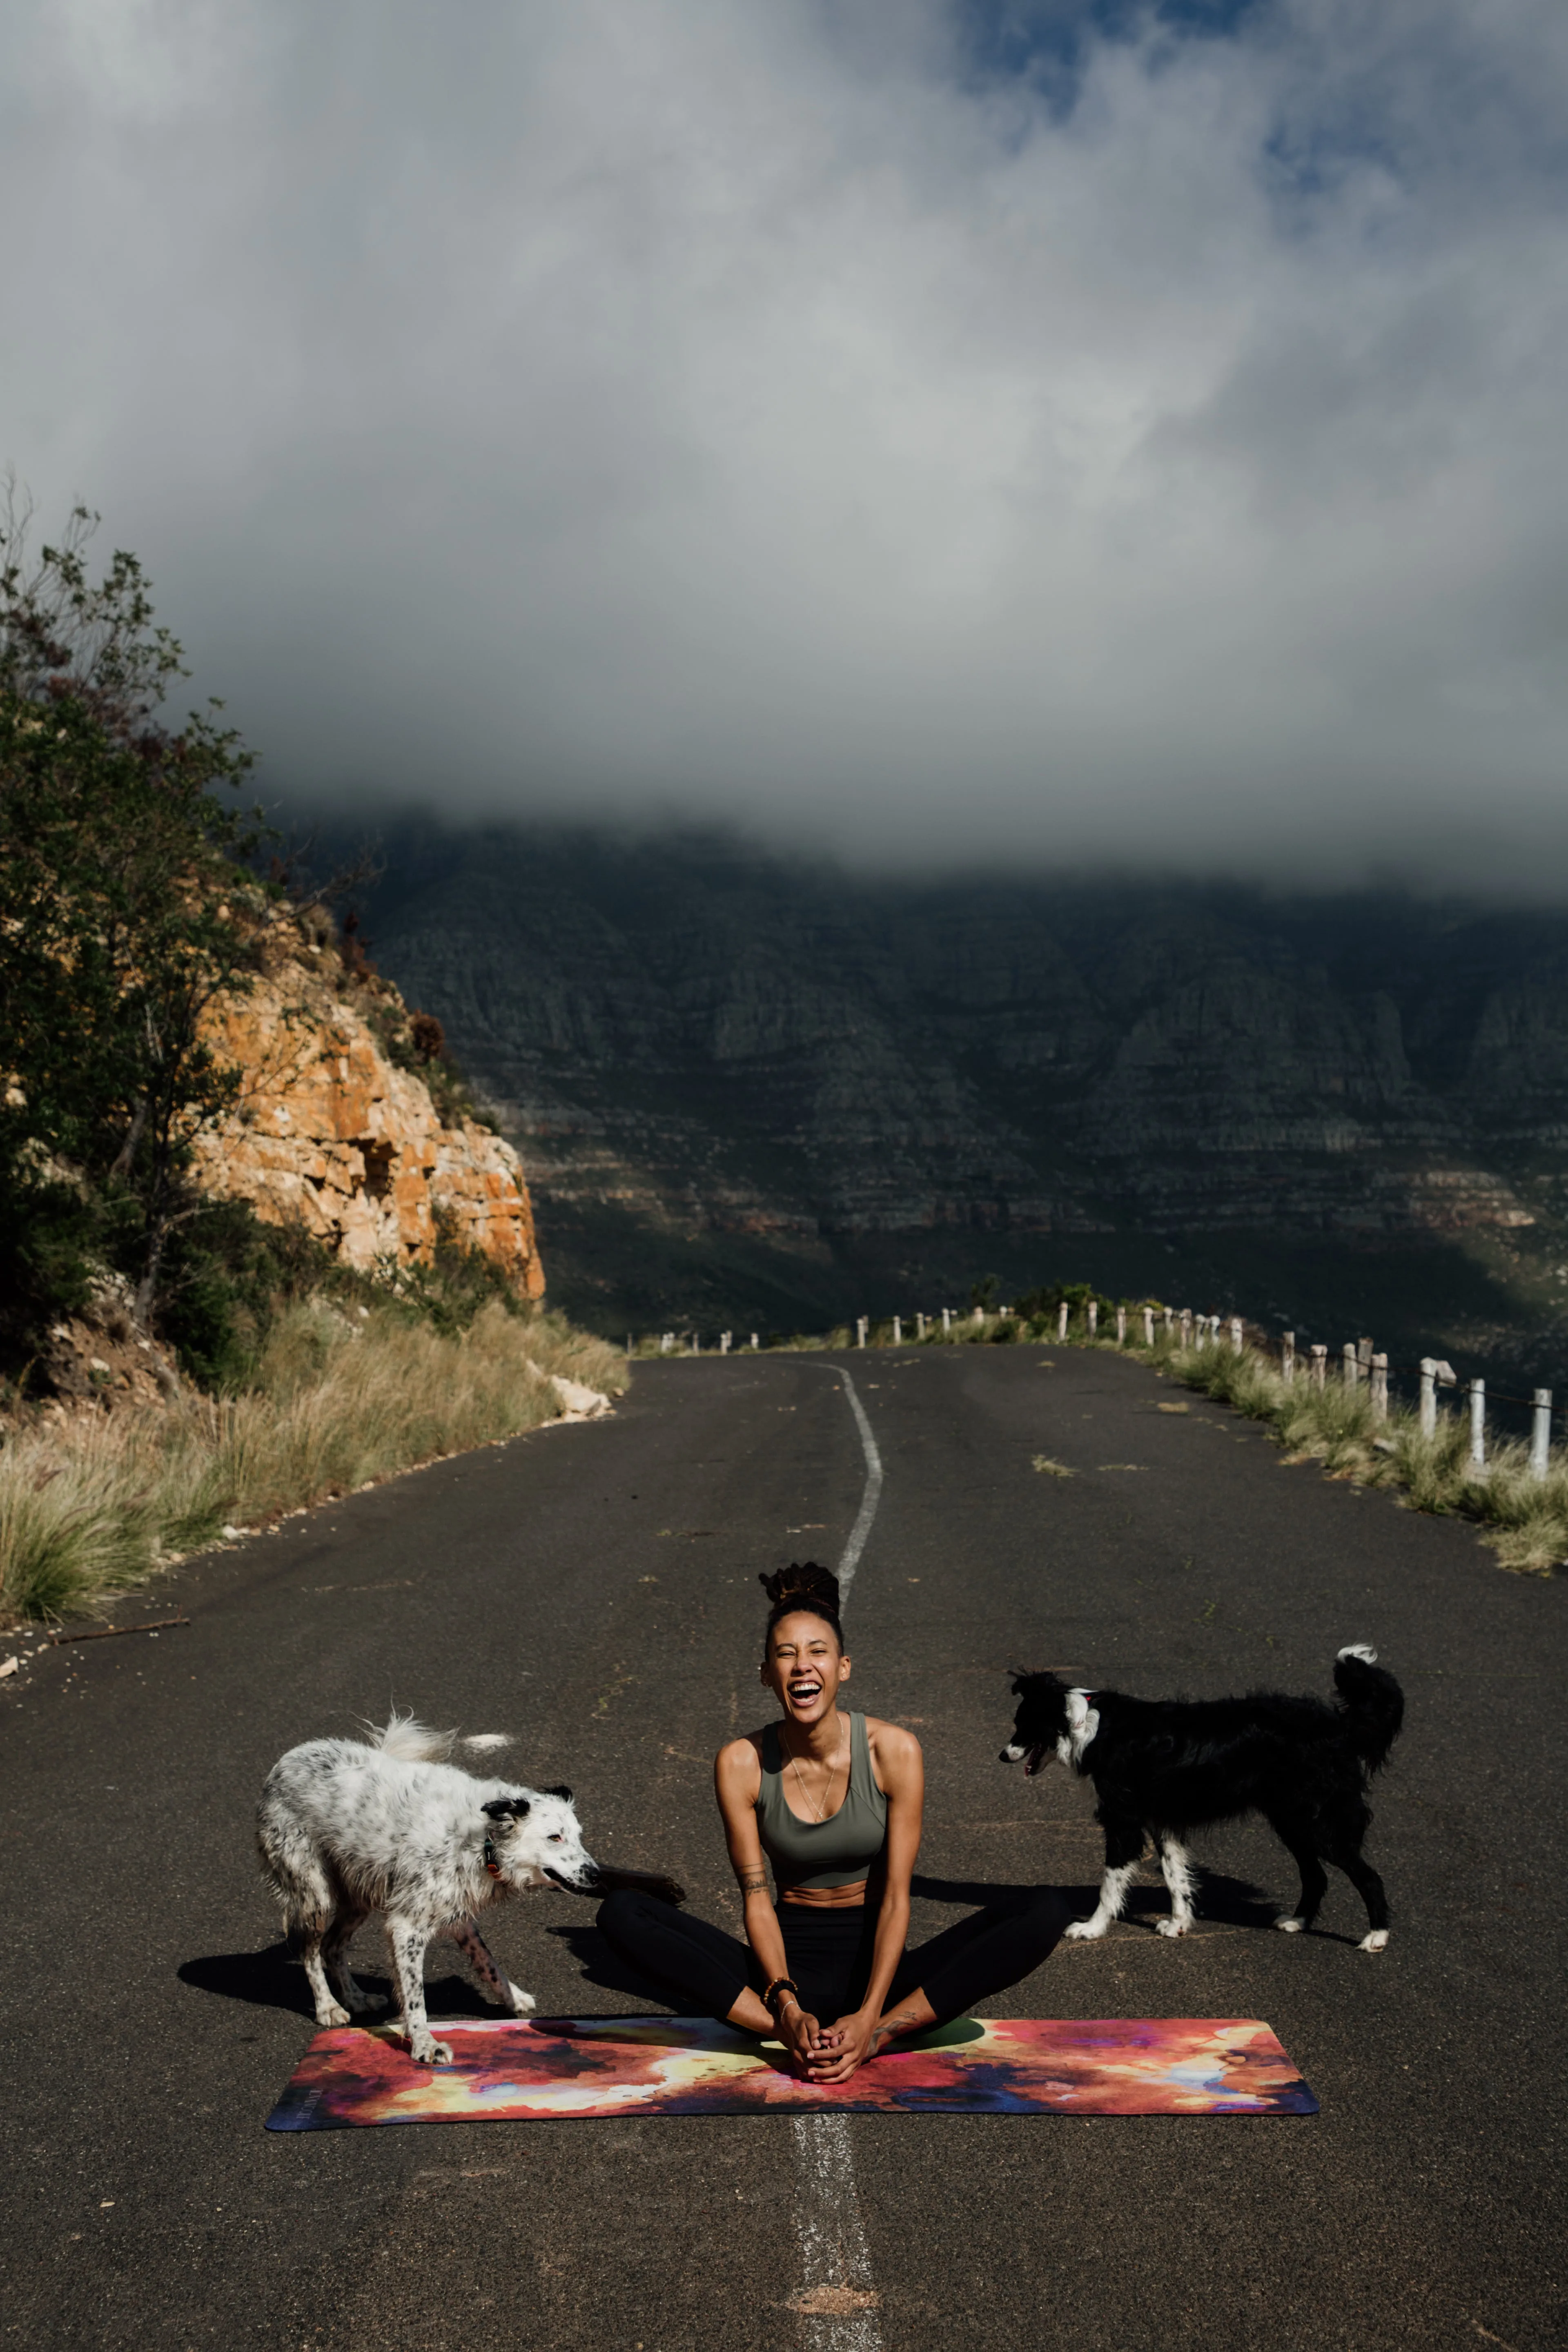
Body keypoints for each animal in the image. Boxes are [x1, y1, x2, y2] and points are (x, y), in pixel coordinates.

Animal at [256, 1712, 682, 2060]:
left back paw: (357, 1998)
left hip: (360, 1895)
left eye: (578, 1836)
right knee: (310, 1951)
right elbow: (416, 1997)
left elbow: (488, 1962)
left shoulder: (456, 1913)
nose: (595, 1875)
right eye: (555, 1838)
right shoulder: (407, 1927)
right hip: (315, 1894)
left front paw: (513, 1999)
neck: (485, 1841)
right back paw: (328, 2007)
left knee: (332, 1946)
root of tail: (286, 1761)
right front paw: (424, 2045)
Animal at [1001, 1646, 1401, 1957]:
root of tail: (1339, 1726)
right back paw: (1297, 1922)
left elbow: (1110, 1884)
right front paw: (1179, 1925)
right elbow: (1176, 1877)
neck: (1086, 1726)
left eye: (1022, 1726)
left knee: (1369, 1877)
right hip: (1292, 1821)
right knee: (1316, 1875)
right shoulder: (1161, 1822)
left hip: (1321, 1824)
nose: (1003, 1756)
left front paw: (1091, 1929)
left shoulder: (1123, 1823)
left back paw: (1376, 1938)